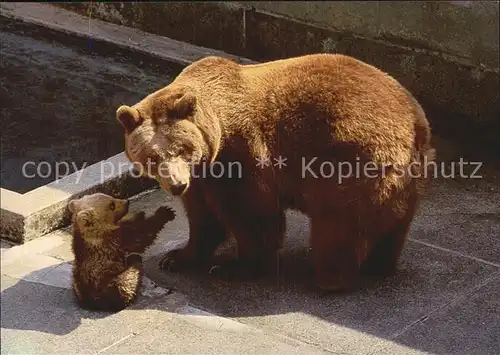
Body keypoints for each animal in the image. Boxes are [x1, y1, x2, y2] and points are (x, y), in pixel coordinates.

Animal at [115, 53, 436, 292]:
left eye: (181, 148)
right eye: (152, 157)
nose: (176, 185)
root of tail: (415, 121)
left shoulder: (242, 155)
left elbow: (251, 214)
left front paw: (234, 266)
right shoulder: (203, 177)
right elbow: (203, 217)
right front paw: (177, 257)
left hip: (351, 157)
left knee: (338, 222)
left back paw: (327, 278)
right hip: (410, 176)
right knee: (393, 222)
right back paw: (379, 265)